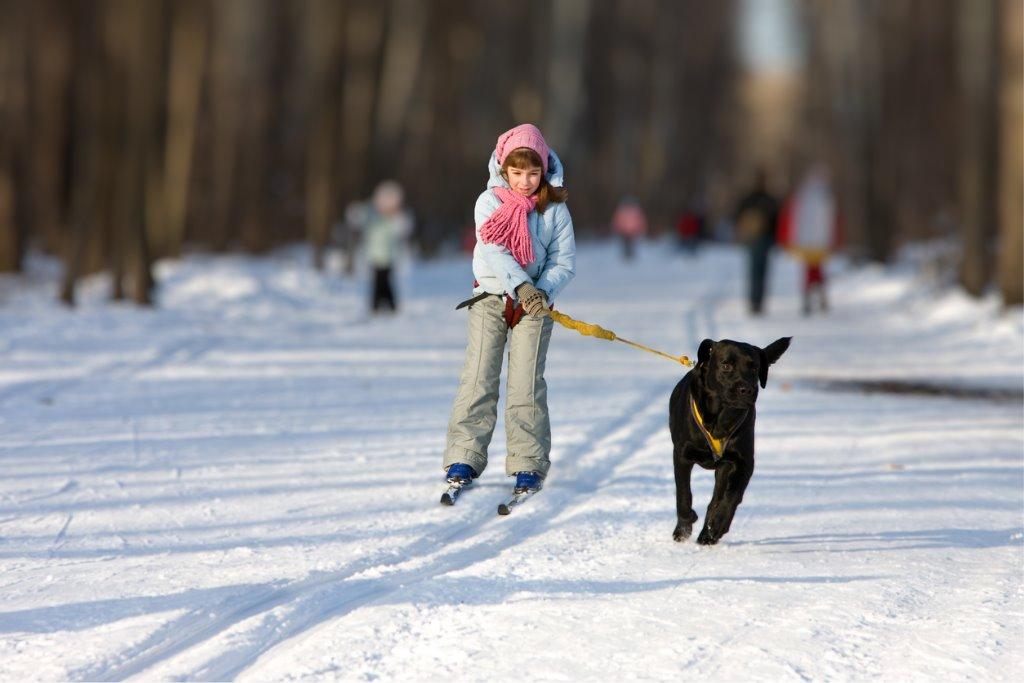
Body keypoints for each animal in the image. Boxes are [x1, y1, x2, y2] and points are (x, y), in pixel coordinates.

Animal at [667, 335, 794, 544]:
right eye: (726, 365)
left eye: (754, 367)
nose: (746, 389)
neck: (719, 418)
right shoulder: (682, 455)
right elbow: (683, 494)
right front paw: (683, 528)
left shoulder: (743, 462)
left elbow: (731, 497)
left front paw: (718, 525)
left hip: (724, 468)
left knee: (716, 499)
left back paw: (708, 533)